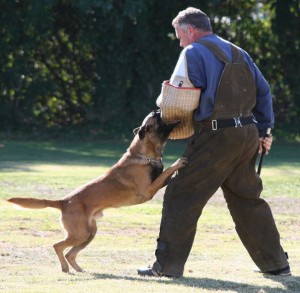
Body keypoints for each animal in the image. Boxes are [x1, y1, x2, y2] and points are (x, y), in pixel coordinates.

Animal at [7, 109, 188, 272]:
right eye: (156, 117)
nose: (158, 109)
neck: (143, 154)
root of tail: (63, 201)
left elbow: (165, 175)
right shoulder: (148, 190)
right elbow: (166, 171)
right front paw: (177, 163)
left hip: (89, 234)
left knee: (70, 253)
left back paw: (78, 269)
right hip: (80, 234)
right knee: (57, 246)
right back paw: (65, 268)